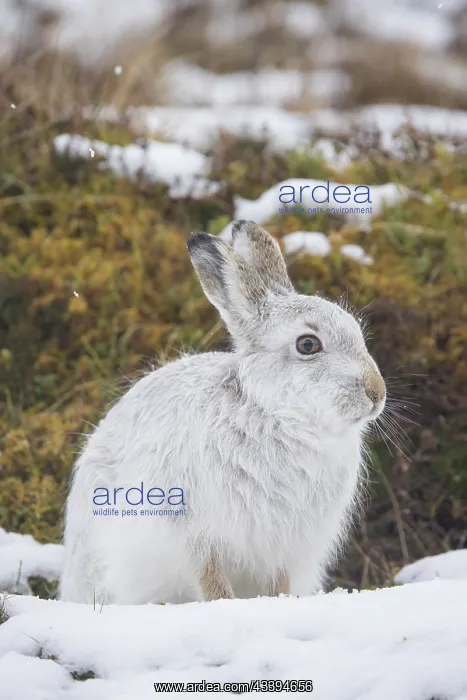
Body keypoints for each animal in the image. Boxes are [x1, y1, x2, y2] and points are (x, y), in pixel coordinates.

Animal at [59, 220, 386, 605]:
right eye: (308, 345)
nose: (376, 393)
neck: (281, 419)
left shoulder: (284, 549)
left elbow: (279, 584)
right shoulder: (191, 534)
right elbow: (211, 581)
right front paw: (224, 608)